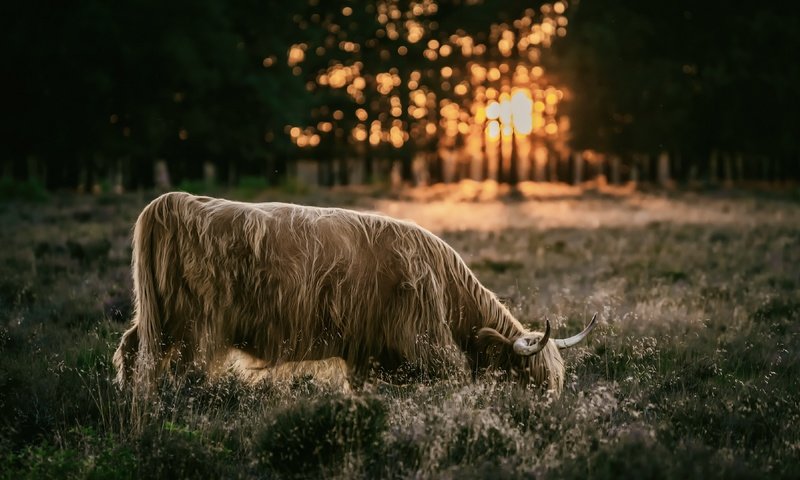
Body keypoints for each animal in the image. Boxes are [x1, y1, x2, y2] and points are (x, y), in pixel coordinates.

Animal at [115, 190, 596, 394]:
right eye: (530, 378)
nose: (546, 416)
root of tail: (173, 201)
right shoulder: (426, 345)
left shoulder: (367, 354)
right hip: (189, 323)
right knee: (173, 369)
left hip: (158, 317)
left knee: (131, 351)